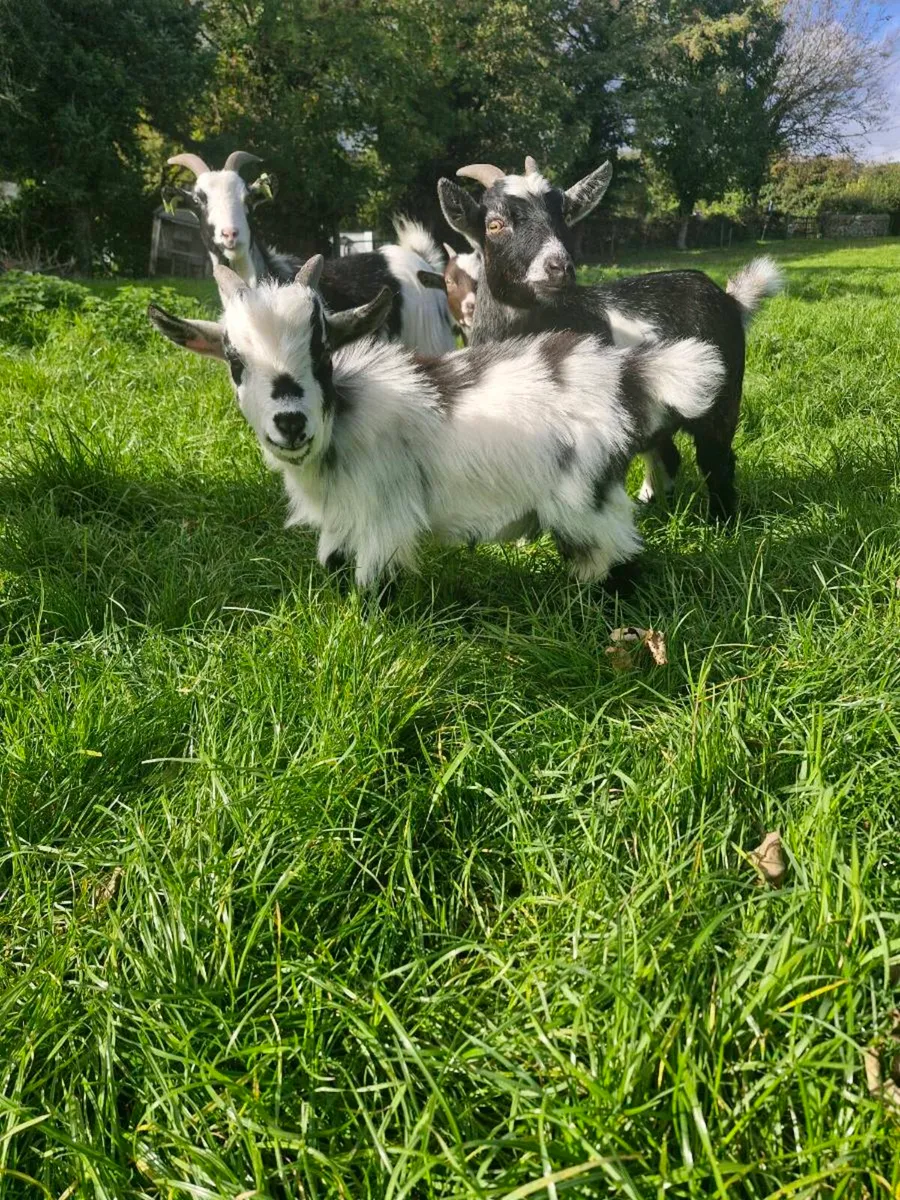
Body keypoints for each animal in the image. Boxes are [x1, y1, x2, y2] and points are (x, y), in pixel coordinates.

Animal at [147, 258, 726, 593]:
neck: (344, 422)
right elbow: (333, 564)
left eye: (322, 352)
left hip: (583, 502)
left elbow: (371, 587)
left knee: (618, 559)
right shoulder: (343, 520)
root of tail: (624, 375)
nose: (290, 422)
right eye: (234, 361)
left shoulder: (384, 518)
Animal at [438, 157, 783, 521]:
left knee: (717, 460)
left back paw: (722, 520)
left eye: (565, 219)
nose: (559, 267)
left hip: (723, 398)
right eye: (495, 224)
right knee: (667, 454)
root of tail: (729, 299)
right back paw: (650, 504)